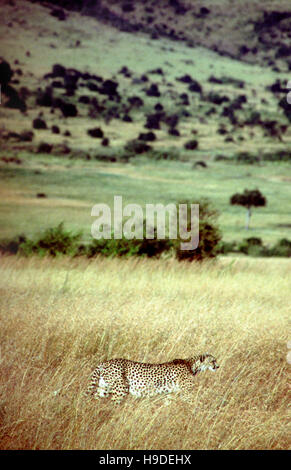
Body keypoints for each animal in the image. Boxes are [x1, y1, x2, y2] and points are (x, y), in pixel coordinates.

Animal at [86, 352, 219, 404]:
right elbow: (194, 403)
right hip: (120, 389)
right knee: (114, 403)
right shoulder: (187, 393)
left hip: (103, 388)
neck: (191, 365)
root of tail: (104, 362)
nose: (217, 366)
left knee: (95, 398)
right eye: (213, 361)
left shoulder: (171, 393)